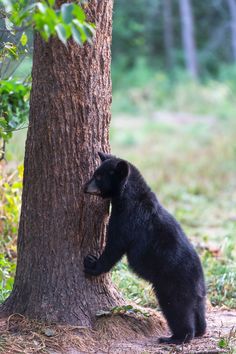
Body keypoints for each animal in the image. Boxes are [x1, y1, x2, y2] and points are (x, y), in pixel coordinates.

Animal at [84, 151, 206, 342]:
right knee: (198, 310)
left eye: (98, 176)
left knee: (178, 309)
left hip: (173, 284)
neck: (129, 197)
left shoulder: (127, 221)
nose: (84, 187)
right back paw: (200, 330)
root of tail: (198, 280)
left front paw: (91, 264)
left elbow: (115, 246)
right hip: (196, 293)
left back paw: (176, 337)